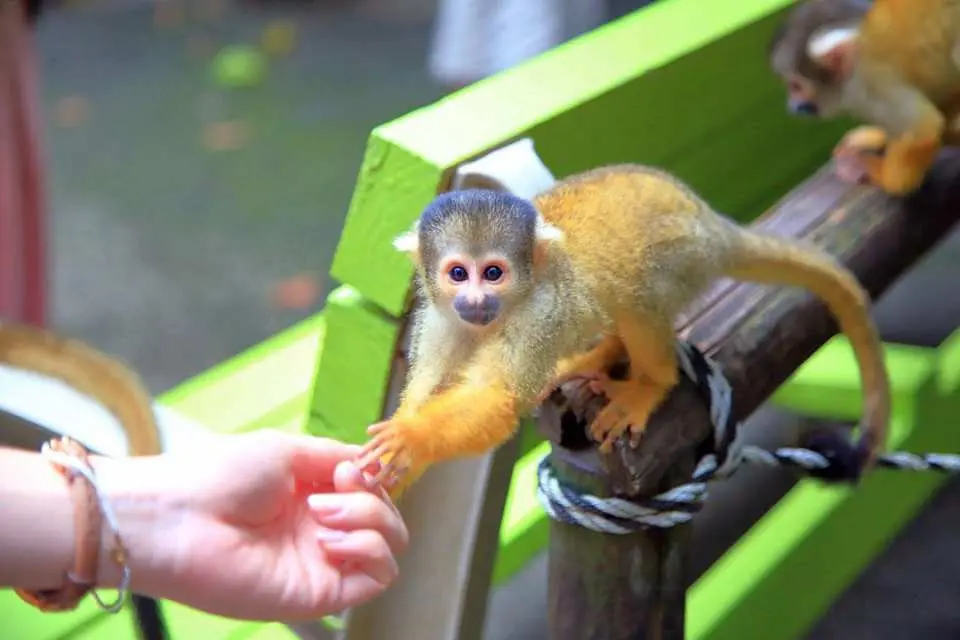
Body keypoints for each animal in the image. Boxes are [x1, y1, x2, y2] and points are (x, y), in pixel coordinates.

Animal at [356, 165, 891, 497]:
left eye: (493, 274)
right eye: (457, 274)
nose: (475, 301)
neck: (501, 313)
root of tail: (711, 221)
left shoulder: (536, 317)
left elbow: (498, 398)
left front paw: (411, 437)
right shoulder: (437, 316)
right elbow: (430, 386)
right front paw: (390, 471)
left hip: (683, 254)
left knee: (639, 297)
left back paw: (649, 384)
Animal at [769, 0, 960, 195]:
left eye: (796, 87)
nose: (791, 105)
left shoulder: (867, 85)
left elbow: (923, 126)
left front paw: (869, 170)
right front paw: (875, 136)